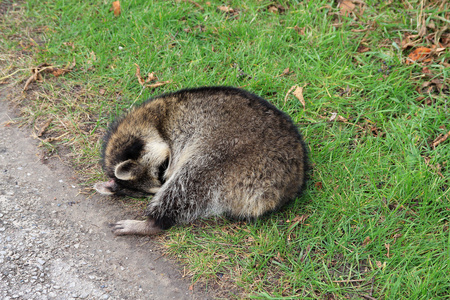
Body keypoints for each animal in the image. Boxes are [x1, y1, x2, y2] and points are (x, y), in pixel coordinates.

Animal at [93, 85, 308, 236]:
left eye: (162, 169)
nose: (164, 183)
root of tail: (290, 182)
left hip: (231, 156)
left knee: (188, 183)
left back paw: (153, 223)